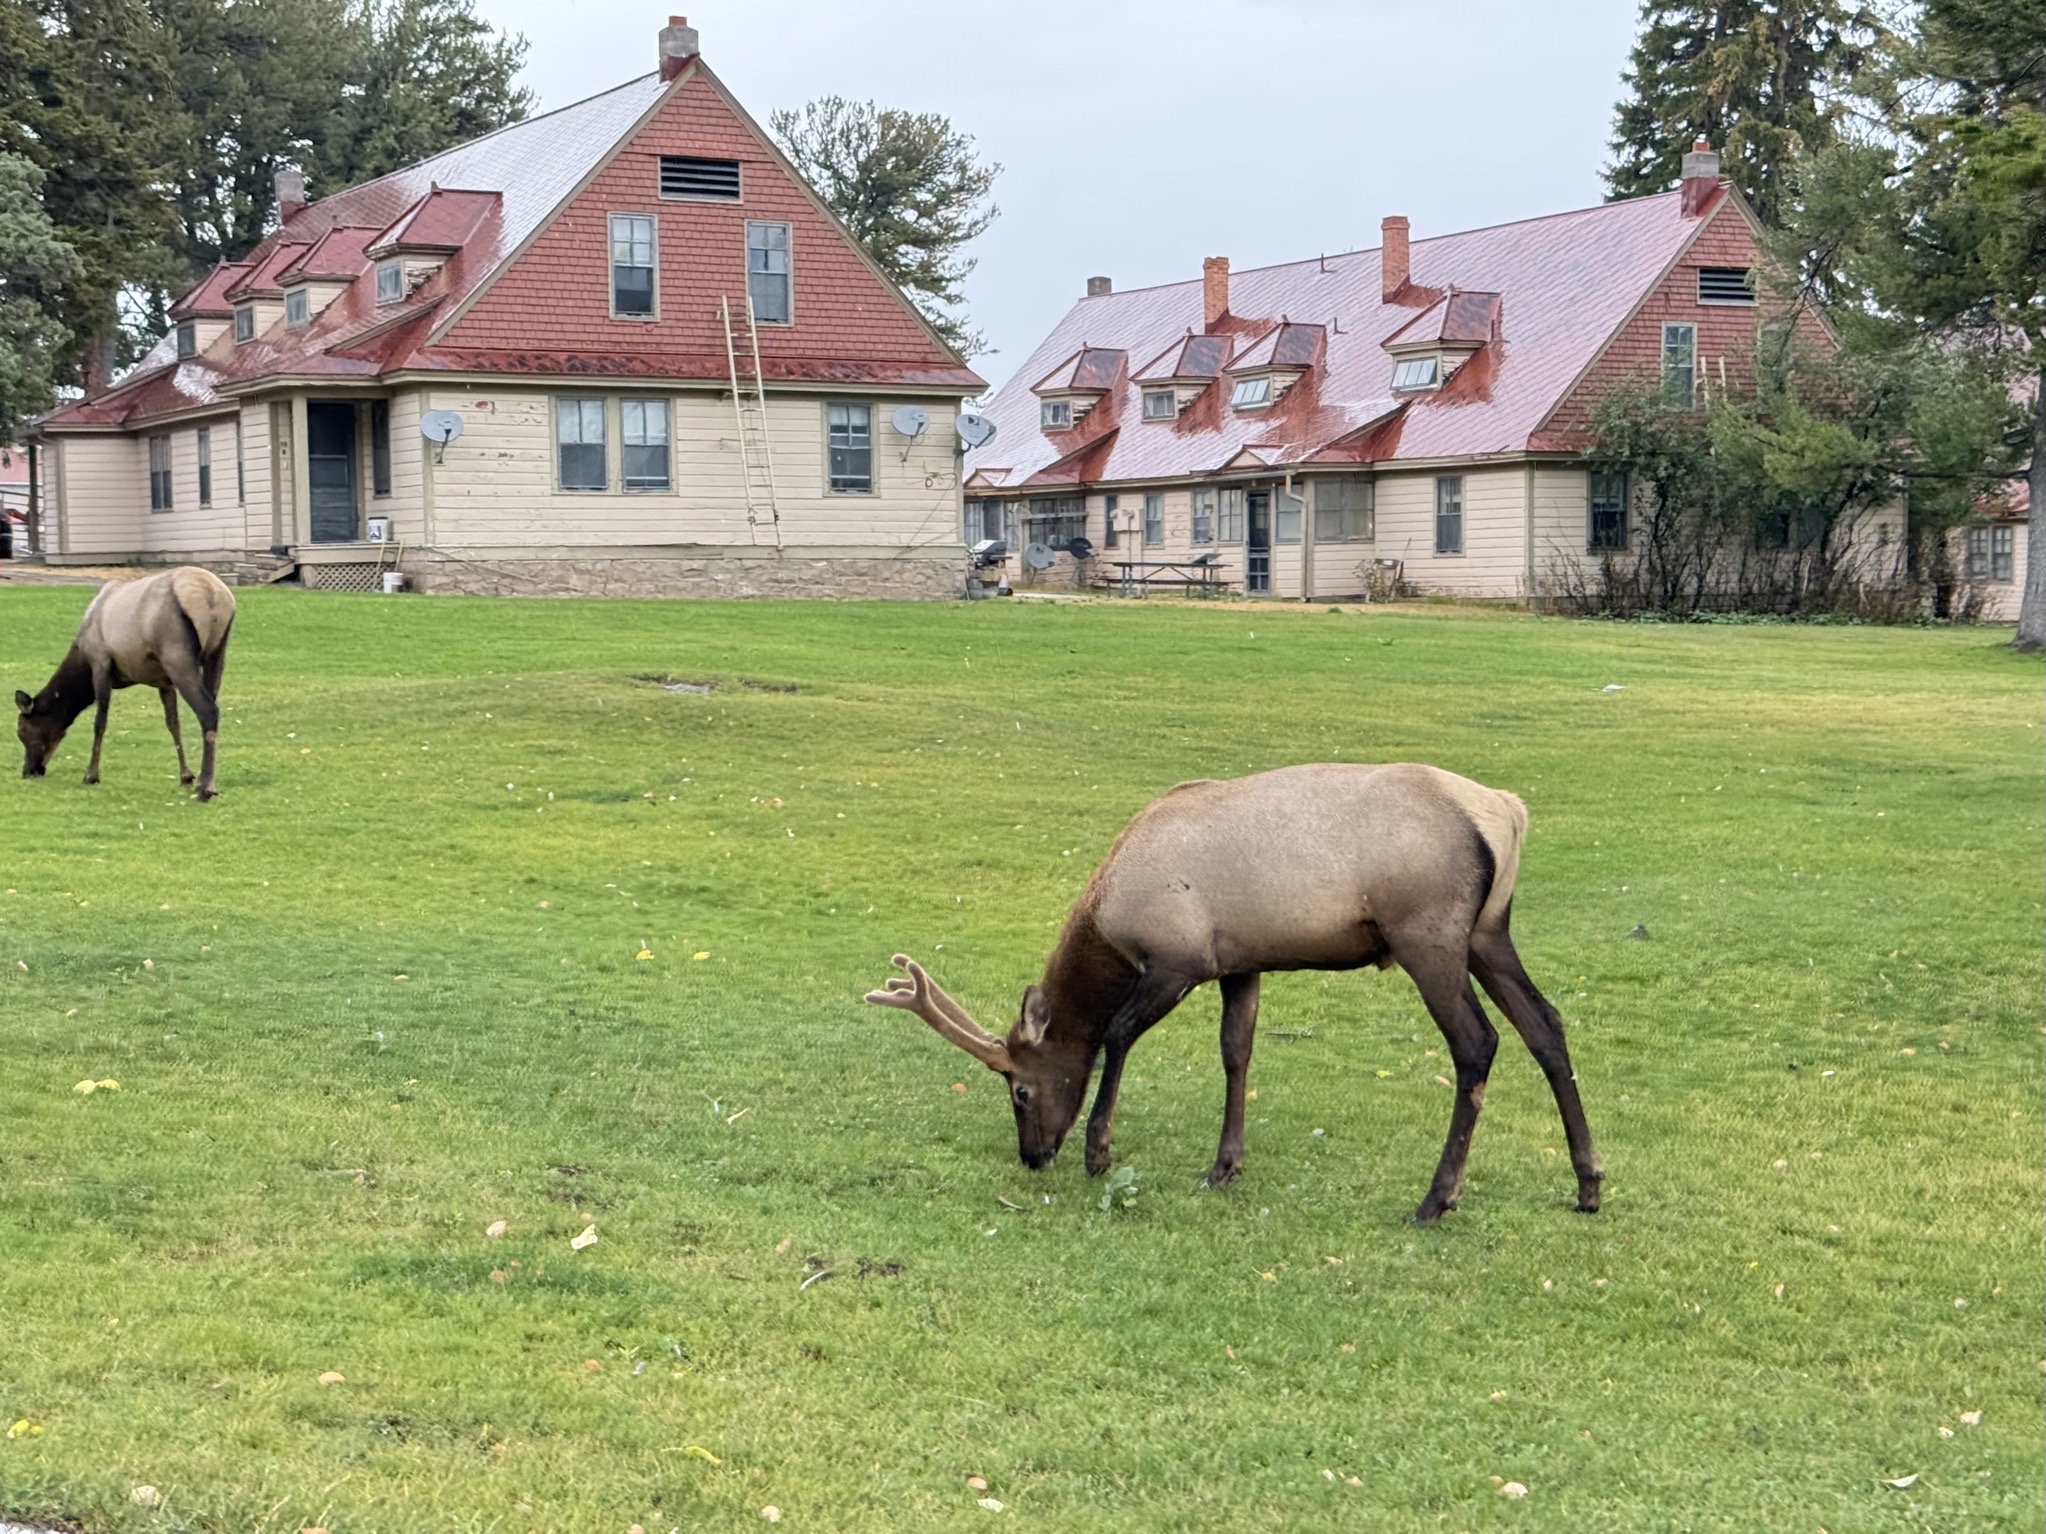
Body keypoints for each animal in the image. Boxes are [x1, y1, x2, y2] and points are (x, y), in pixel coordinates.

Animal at [16, 566, 236, 801]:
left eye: (22, 730)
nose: (28, 771)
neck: (82, 655)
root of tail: (214, 596)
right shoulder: (164, 681)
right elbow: (173, 723)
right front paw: (185, 775)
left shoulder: (100, 662)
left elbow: (100, 722)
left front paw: (91, 775)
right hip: (217, 653)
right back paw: (207, 782)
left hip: (177, 654)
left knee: (208, 710)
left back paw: (206, 787)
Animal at [866, 763, 1602, 1223]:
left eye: (1019, 1088)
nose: (1032, 1156)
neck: (1110, 914)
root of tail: (1508, 813)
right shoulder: (1241, 964)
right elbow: (1236, 1052)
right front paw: (1224, 1166)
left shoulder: (1178, 958)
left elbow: (1114, 1035)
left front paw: (1099, 1153)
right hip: (1488, 932)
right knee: (1547, 1025)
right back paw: (1589, 1182)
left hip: (1428, 932)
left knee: (1478, 1043)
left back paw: (1436, 1200)